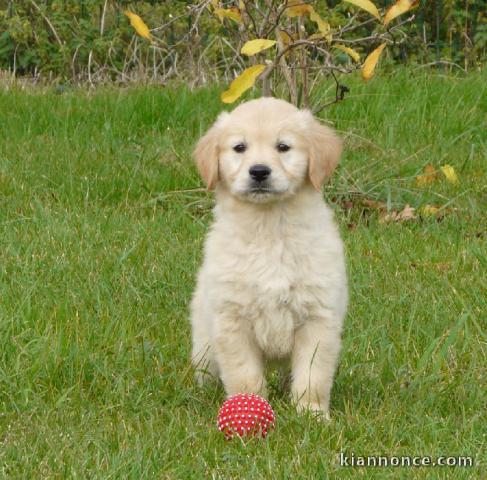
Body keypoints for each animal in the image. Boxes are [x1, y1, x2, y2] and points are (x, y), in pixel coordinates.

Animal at [191, 96, 346, 416]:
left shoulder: (318, 317)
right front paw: (249, 406)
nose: (259, 171)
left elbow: (312, 374)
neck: (270, 227)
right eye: (239, 147)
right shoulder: (232, 319)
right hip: (203, 341)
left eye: (283, 147)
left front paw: (312, 413)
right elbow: (244, 374)